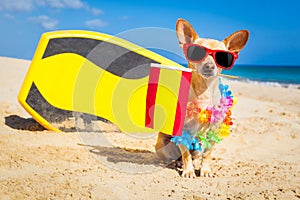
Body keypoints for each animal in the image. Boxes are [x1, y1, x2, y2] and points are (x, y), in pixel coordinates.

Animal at [155, 18, 248, 178]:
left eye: (222, 57)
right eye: (197, 52)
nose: (209, 66)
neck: (204, 92)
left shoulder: (214, 131)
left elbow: (208, 153)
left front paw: (205, 170)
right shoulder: (182, 131)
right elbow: (185, 153)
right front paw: (188, 171)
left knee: (197, 154)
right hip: (163, 144)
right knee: (175, 156)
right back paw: (176, 163)